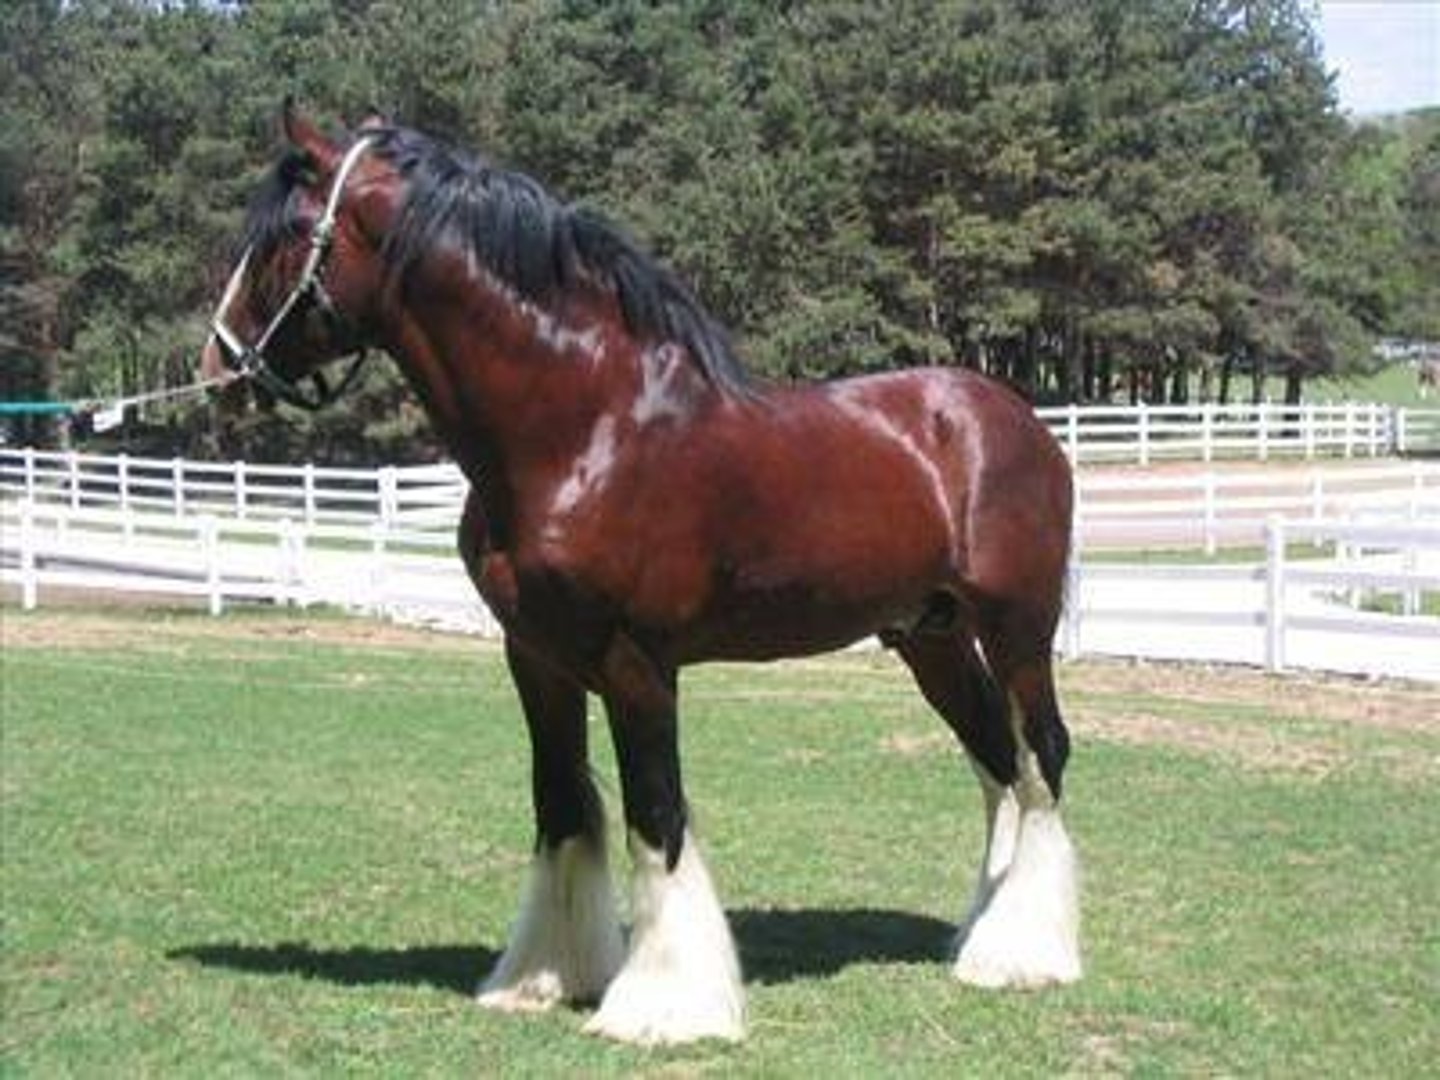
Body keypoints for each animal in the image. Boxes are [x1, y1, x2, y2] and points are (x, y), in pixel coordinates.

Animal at [200, 104, 1081, 1045]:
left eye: (288, 237)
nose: (218, 368)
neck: (586, 427)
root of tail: (1015, 415)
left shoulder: (637, 661)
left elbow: (655, 817)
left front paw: (662, 1004)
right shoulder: (536, 658)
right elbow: (561, 807)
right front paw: (546, 978)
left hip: (1017, 632)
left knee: (1041, 758)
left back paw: (1026, 955)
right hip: (931, 637)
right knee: (997, 765)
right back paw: (981, 939)